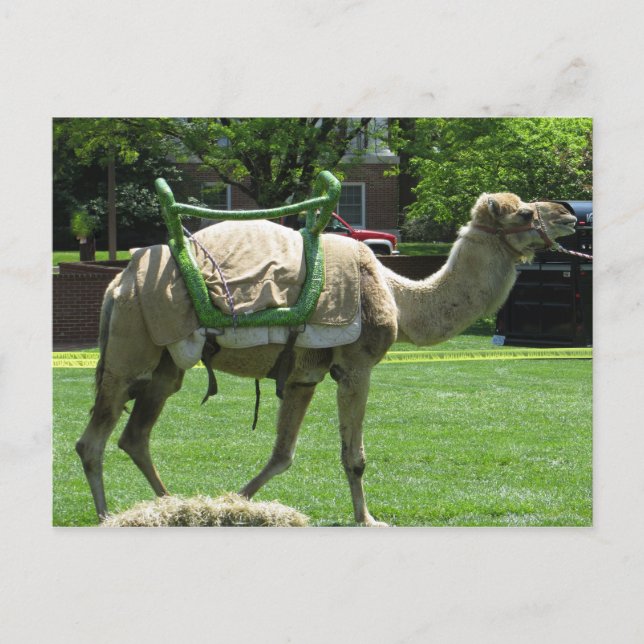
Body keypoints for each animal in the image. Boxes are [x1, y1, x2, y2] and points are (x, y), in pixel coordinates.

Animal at [75, 192, 577, 525]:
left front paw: (234, 501)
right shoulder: (355, 366)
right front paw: (368, 519)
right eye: (525, 211)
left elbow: (282, 453)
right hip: (130, 349)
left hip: (166, 365)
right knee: (93, 440)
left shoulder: (303, 375)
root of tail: (117, 283)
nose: (569, 214)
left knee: (135, 436)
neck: (398, 297)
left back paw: (168, 504)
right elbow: (354, 456)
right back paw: (107, 515)